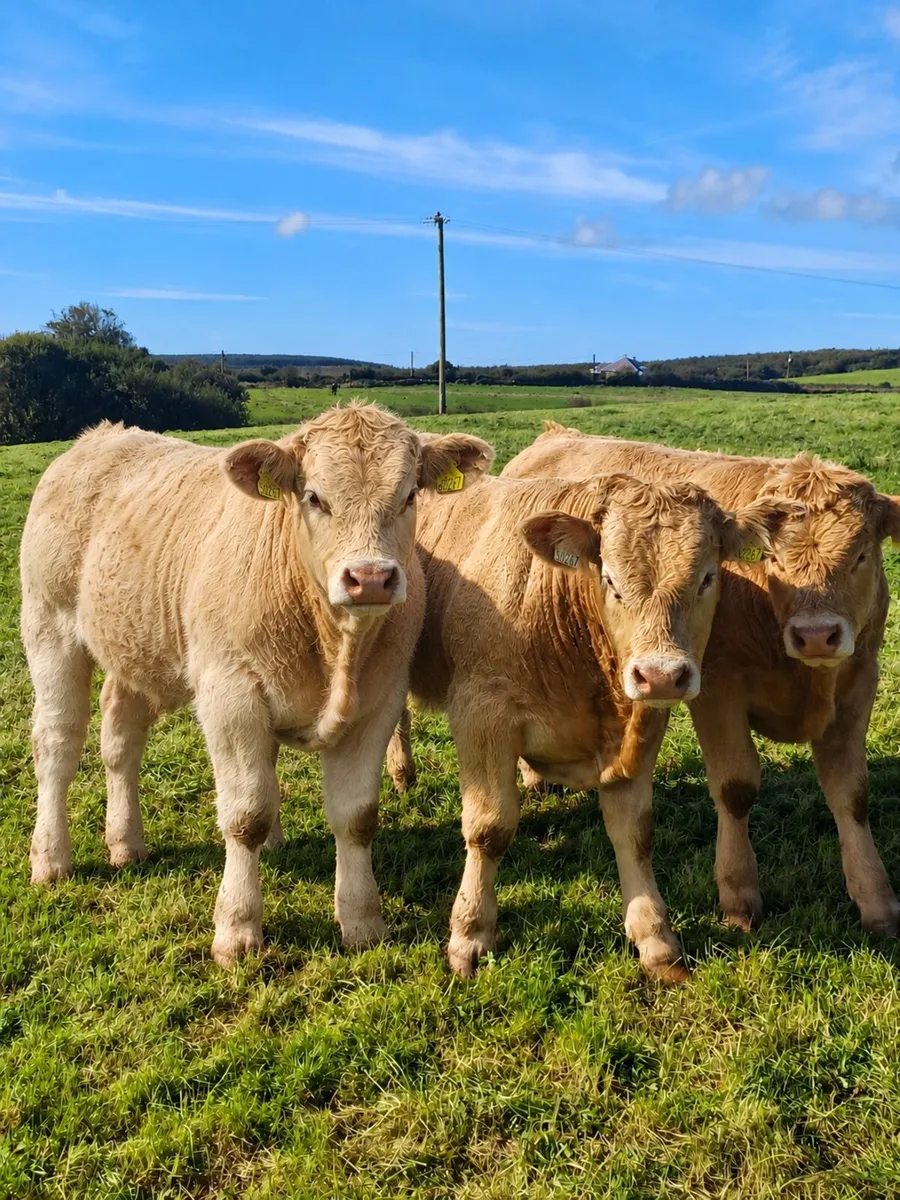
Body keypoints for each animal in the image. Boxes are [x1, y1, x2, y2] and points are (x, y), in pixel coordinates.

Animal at [20, 404, 493, 965]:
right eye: (313, 496)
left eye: (409, 496)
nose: (371, 578)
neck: (331, 642)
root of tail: (96, 438)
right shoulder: (231, 696)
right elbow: (246, 815)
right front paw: (238, 929)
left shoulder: (379, 702)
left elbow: (356, 816)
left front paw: (362, 921)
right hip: (49, 626)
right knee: (57, 745)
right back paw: (51, 858)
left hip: (132, 642)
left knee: (120, 738)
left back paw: (125, 842)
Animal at [386, 472, 801, 981]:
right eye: (611, 581)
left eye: (708, 577)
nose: (660, 674)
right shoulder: (481, 714)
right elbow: (489, 829)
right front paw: (471, 934)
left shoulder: (641, 730)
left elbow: (635, 832)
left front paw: (656, 939)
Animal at [503, 423, 900, 936]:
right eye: (773, 558)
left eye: (862, 555)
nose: (816, 635)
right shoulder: (717, 687)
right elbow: (736, 787)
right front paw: (738, 894)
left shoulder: (859, 680)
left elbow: (852, 794)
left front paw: (876, 899)